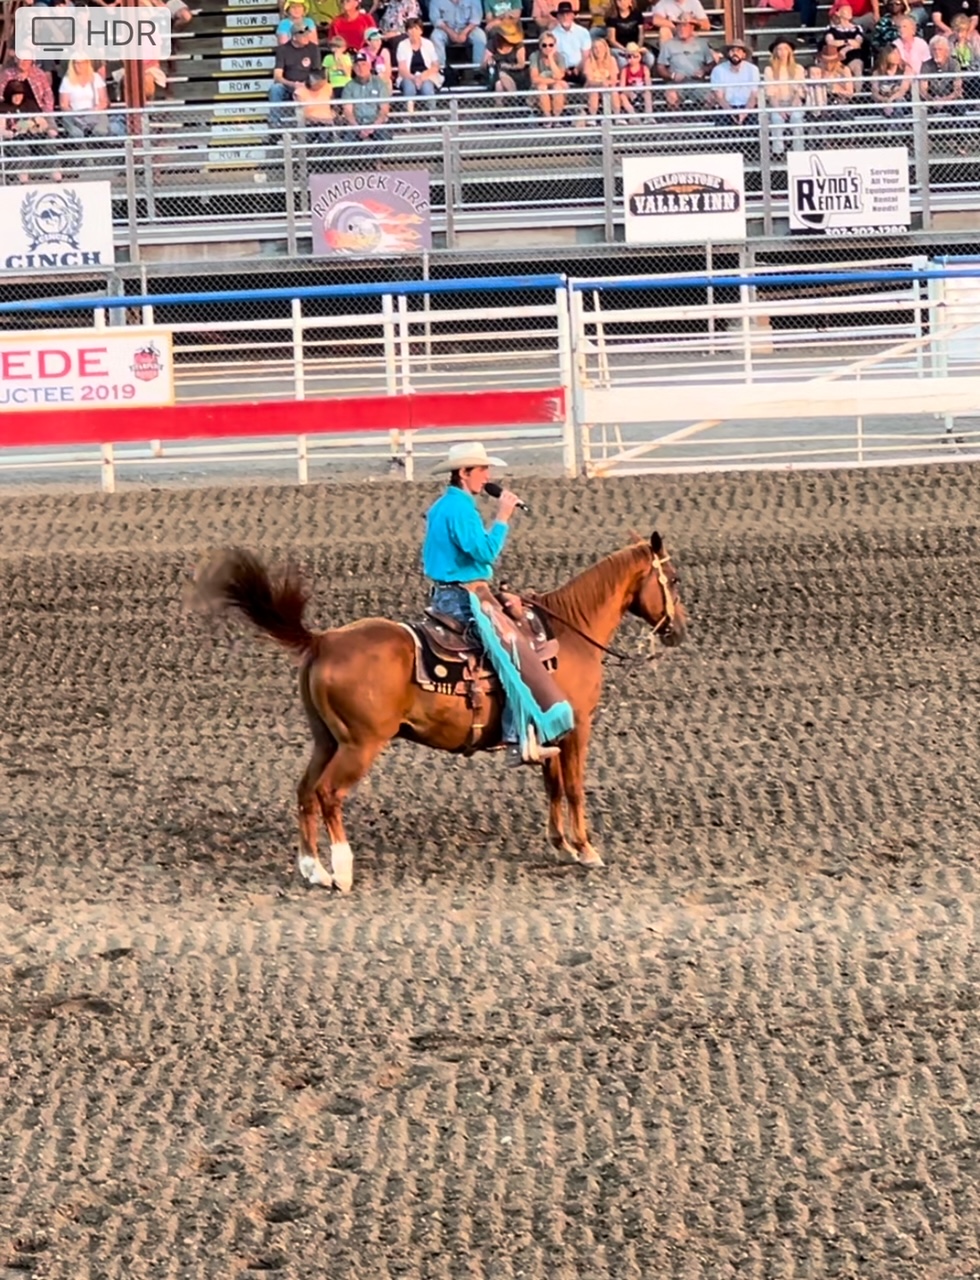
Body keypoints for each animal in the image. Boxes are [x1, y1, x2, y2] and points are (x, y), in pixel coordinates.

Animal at [197, 531, 686, 892]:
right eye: (675, 578)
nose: (679, 631)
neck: (567, 632)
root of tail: (322, 641)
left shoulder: (549, 729)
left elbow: (552, 786)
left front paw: (560, 844)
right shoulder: (577, 726)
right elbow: (574, 788)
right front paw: (586, 849)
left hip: (326, 740)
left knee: (304, 793)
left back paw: (313, 868)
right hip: (359, 745)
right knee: (328, 794)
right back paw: (343, 871)